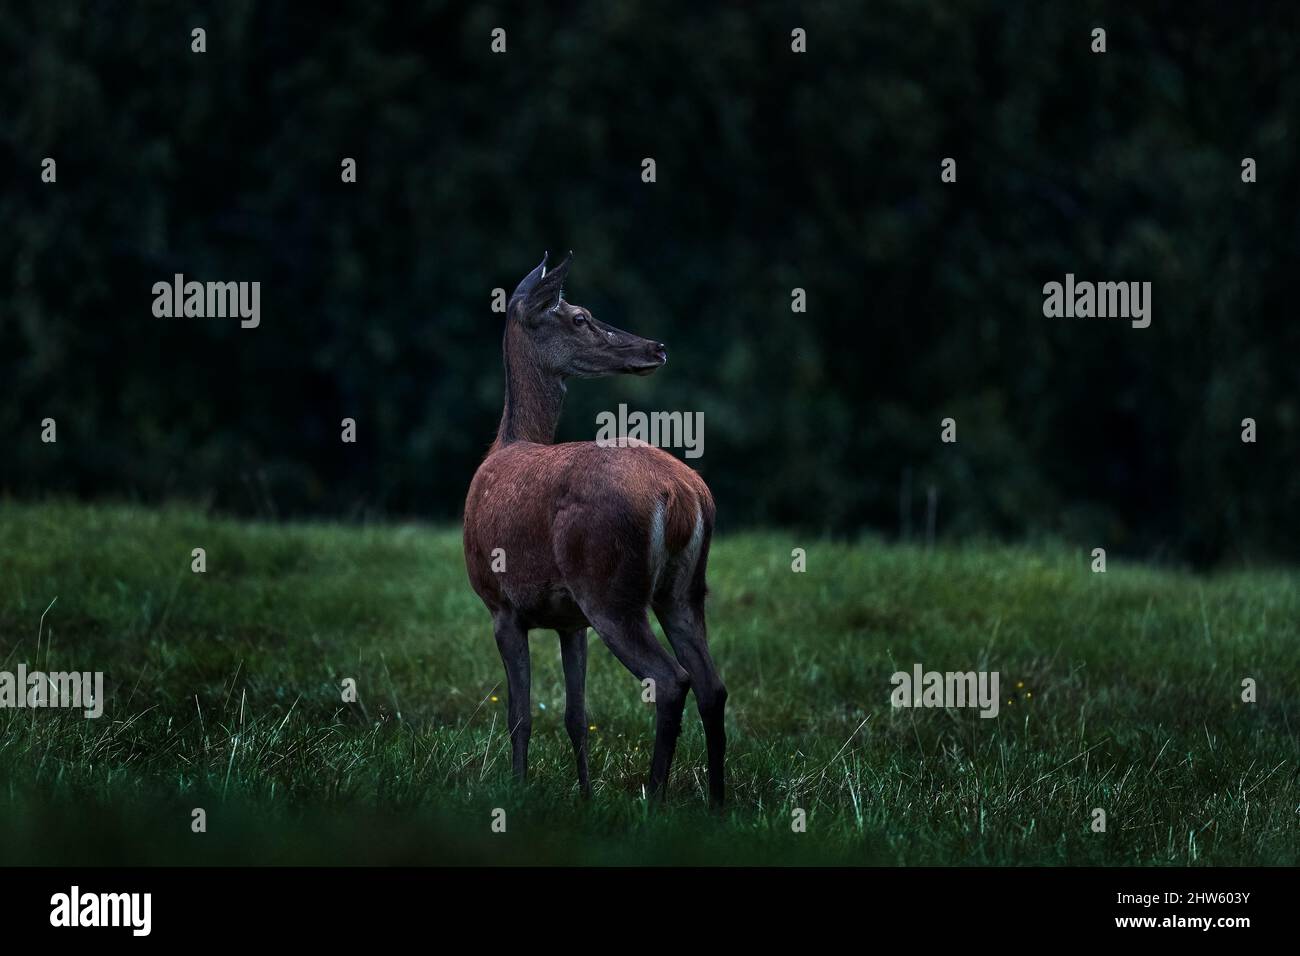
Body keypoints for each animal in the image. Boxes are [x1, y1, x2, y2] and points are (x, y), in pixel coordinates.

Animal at [465, 251, 733, 806]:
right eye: (580, 317)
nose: (656, 346)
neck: (504, 445)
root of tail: (683, 494)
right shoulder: (571, 621)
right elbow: (574, 715)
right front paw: (585, 795)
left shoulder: (501, 605)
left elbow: (520, 716)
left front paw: (517, 789)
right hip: (682, 589)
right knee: (712, 685)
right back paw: (717, 803)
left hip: (608, 585)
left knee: (671, 680)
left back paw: (655, 797)